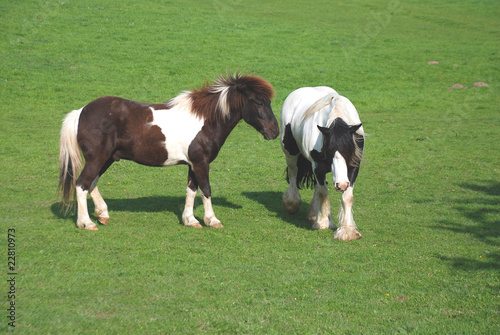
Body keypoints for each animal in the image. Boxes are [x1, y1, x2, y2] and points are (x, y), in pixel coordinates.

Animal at [60, 73, 280, 231]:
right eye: (259, 102)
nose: (275, 132)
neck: (206, 120)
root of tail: (81, 112)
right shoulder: (201, 163)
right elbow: (206, 189)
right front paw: (212, 220)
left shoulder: (193, 164)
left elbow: (191, 190)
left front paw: (190, 220)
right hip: (97, 159)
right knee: (81, 184)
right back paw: (86, 223)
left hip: (106, 159)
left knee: (91, 183)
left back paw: (102, 215)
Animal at [280, 85, 366, 240]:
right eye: (330, 150)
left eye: (348, 149)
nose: (341, 184)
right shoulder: (318, 166)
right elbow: (323, 193)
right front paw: (324, 222)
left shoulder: (353, 166)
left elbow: (347, 197)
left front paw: (346, 231)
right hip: (290, 152)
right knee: (293, 173)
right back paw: (292, 203)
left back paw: (313, 214)